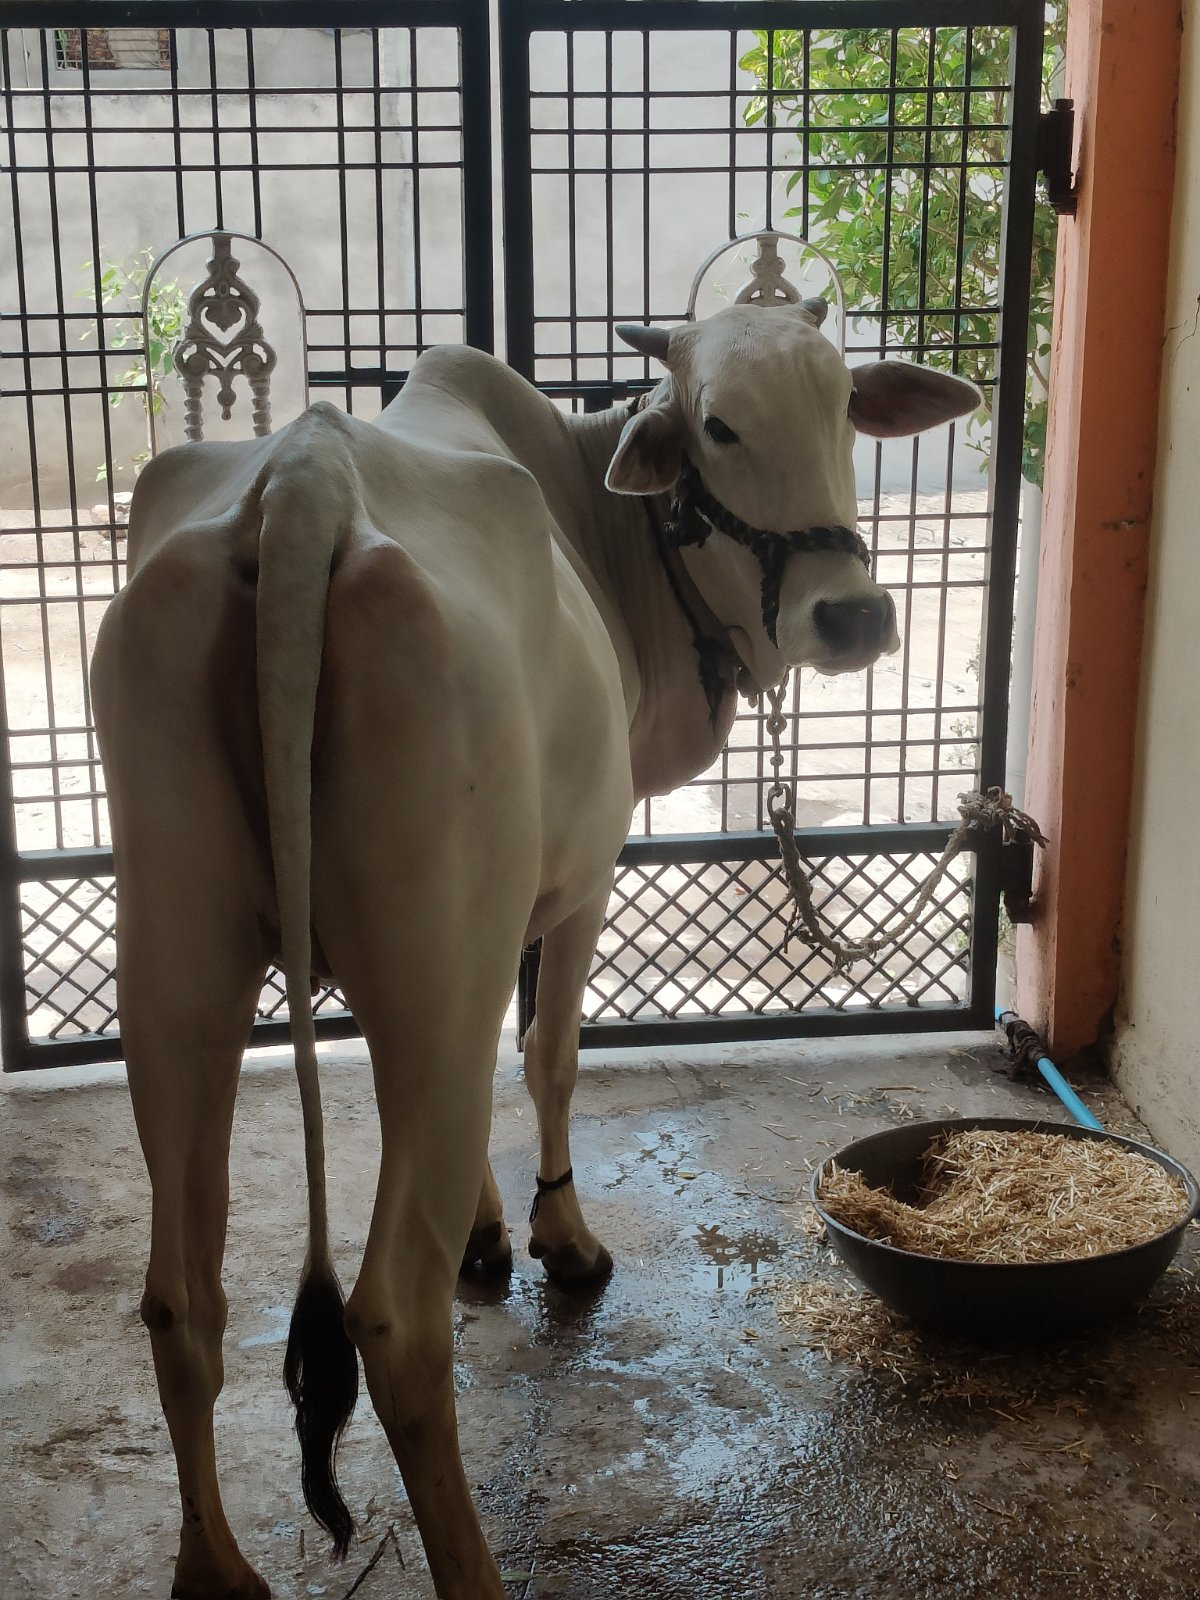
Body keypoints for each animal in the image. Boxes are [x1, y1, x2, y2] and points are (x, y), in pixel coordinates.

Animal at [89, 298, 978, 1599]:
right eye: (718, 425)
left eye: (846, 406)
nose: (854, 616)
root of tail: (301, 485)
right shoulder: (577, 881)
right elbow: (550, 1053)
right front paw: (559, 1240)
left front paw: (484, 1225)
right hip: (424, 959)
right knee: (391, 1318)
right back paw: (471, 1565)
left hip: (180, 968)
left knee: (178, 1300)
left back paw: (215, 1568)